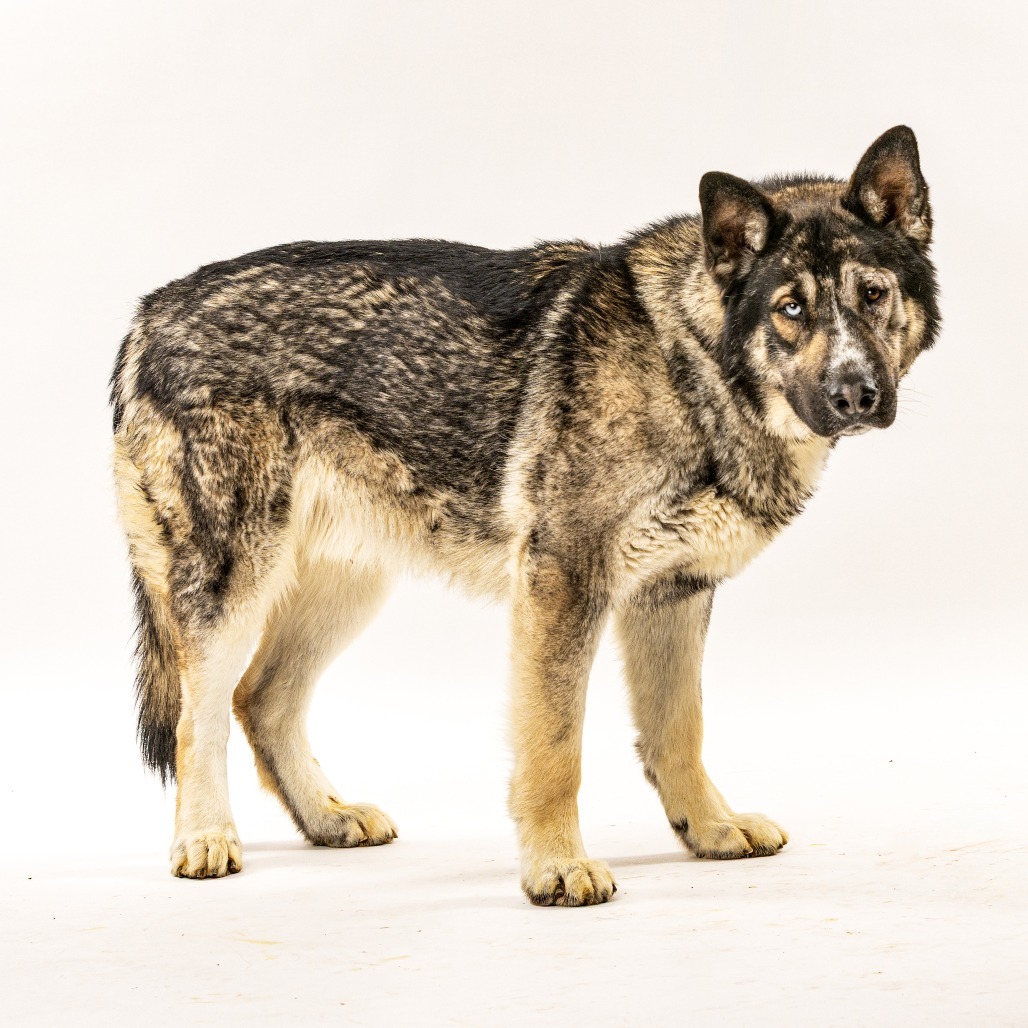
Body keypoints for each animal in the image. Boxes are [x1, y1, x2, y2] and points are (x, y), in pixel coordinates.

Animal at [110, 126, 939, 905]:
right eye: (790, 309)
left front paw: (708, 829)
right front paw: (557, 867)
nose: (855, 394)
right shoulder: (564, 585)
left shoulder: (673, 594)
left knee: (263, 700)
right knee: (199, 717)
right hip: (233, 587)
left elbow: (679, 732)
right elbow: (555, 750)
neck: (691, 364)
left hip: (348, 586)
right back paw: (205, 838)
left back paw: (326, 817)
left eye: (872, 295)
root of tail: (150, 313)